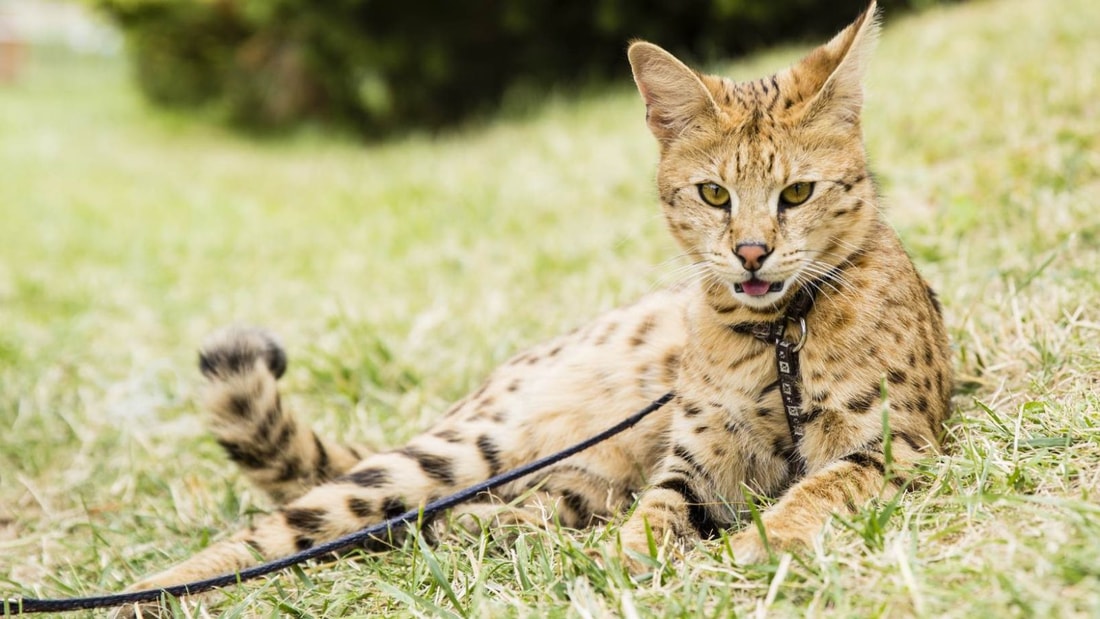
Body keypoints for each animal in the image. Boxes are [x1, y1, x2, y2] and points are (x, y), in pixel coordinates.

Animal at [118, 0, 946, 606]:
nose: (750, 253)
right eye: (714, 194)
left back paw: (493, 526)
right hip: (460, 449)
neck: (777, 333)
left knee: (481, 513)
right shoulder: (697, 462)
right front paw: (634, 560)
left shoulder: (896, 442)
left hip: (572, 474)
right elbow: (659, 512)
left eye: (796, 193)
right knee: (276, 534)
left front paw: (755, 544)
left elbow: (816, 489)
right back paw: (147, 590)